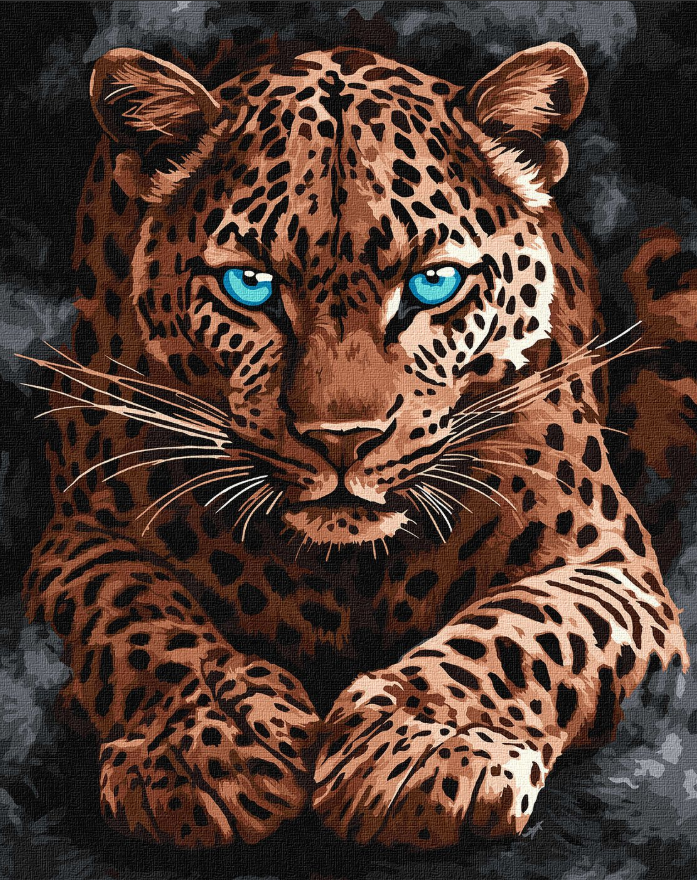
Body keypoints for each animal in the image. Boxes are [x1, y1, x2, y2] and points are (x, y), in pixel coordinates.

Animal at [22, 40, 688, 849]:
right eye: (250, 285)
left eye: (433, 284)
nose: (344, 442)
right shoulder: (79, 536)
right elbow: (138, 616)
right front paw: (208, 744)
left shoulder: (609, 563)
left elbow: (522, 633)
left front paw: (424, 750)